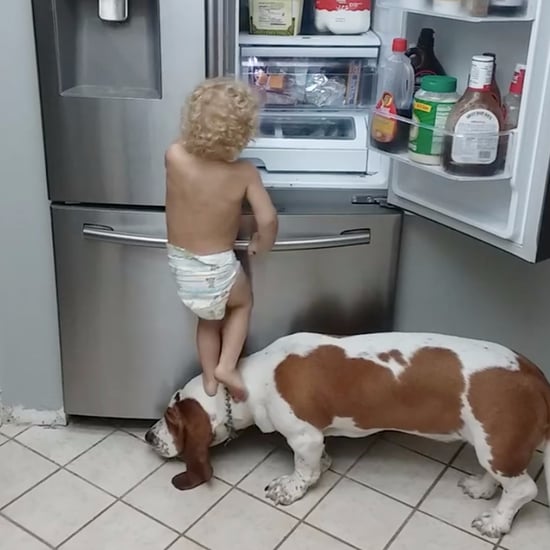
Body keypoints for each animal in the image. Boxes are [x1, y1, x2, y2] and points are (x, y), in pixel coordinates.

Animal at [146, 332, 550, 540]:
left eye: (170, 417)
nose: (148, 436)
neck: (253, 378)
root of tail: (536, 377)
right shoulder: (315, 438)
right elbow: (319, 461)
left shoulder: (303, 436)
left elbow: (303, 469)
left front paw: (290, 488)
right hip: (492, 445)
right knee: (500, 478)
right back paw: (481, 487)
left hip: (497, 442)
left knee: (523, 489)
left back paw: (496, 521)